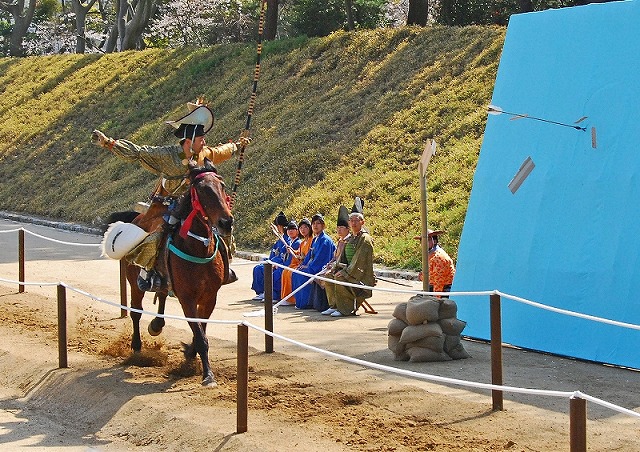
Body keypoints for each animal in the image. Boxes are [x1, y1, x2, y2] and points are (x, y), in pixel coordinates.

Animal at [118, 160, 233, 387]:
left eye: (222, 185)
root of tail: (137, 218)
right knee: (136, 311)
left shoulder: (209, 297)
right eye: (202, 190)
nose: (226, 222)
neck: (198, 247)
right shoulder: (187, 298)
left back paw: (156, 325)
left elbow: (201, 331)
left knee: (162, 294)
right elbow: (200, 336)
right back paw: (137, 348)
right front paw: (208, 375)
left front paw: (190, 354)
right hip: (134, 282)